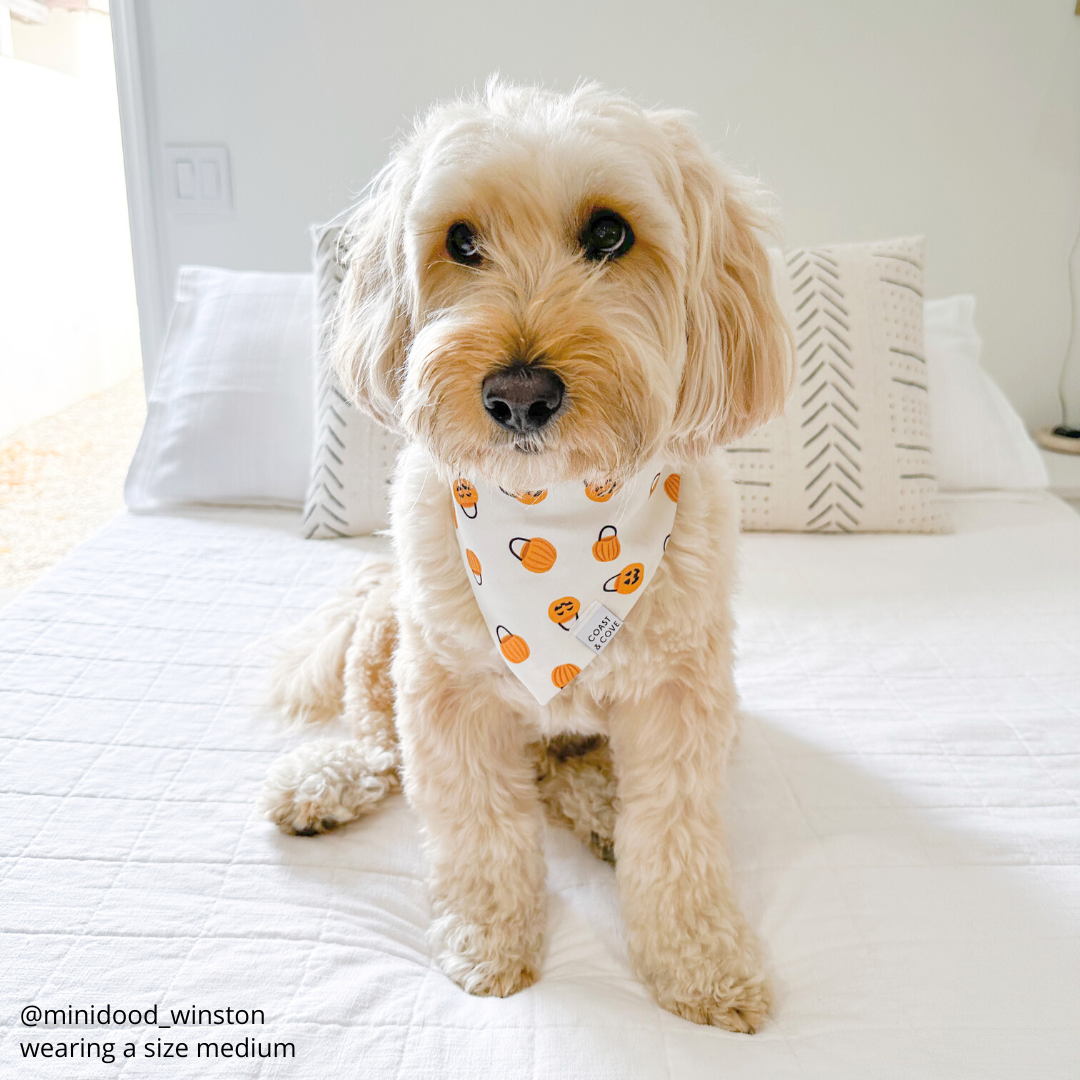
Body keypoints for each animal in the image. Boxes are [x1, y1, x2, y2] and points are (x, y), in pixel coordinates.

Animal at [263, 78, 794, 1028]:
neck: (561, 519)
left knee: (566, 773)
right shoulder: (446, 691)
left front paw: (702, 964)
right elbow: (478, 827)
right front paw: (487, 938)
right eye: (460, 241)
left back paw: (599, 808)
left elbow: (677, 842)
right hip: (385, 628)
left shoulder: (683, 697)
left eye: (611, 234)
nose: (518, 393)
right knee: (381, 745)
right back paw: (324, 782)